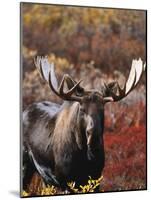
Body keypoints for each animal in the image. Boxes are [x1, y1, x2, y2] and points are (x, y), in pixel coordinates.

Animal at [22, 55, 145, 191]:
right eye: (82, 108)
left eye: (102, 108)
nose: (94, 137)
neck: (84, 156)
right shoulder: (66, 181)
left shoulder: (96, 178)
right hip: (25, 166)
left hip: (45, 179)